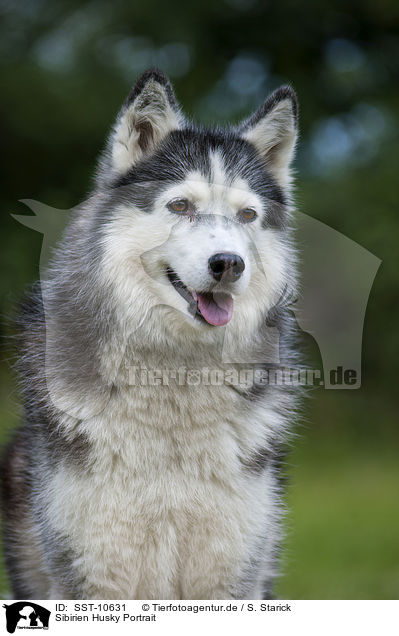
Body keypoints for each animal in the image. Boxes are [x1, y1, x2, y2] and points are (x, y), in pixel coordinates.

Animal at [0, 69, 300, 600]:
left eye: (247, 215)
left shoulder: (230, 579)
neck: (175, 377)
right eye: (180, 205)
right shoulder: (93, 576)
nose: (229, 264)